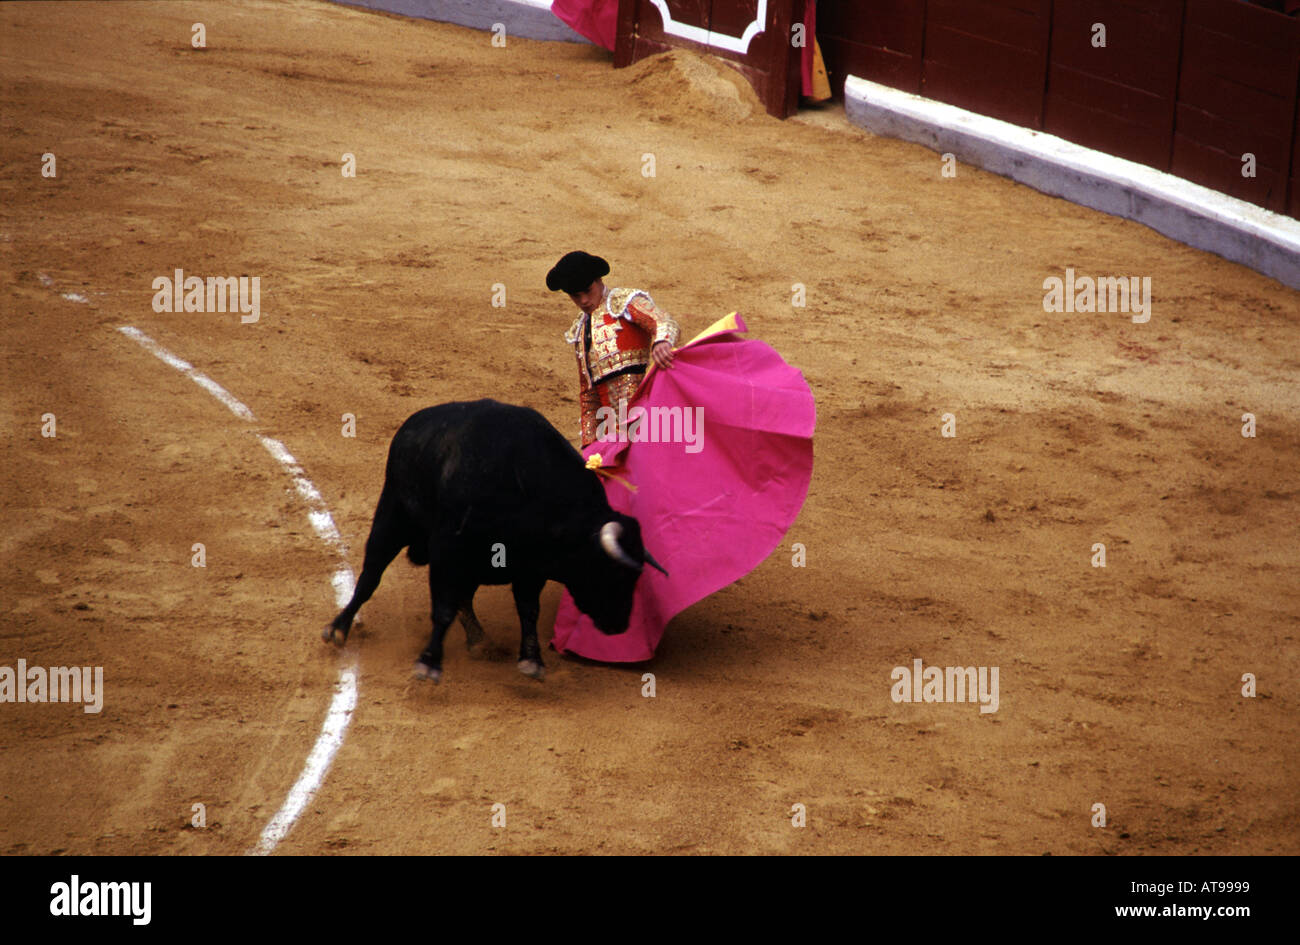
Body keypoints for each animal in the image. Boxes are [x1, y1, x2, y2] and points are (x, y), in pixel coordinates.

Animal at [322, 397, 670, 681]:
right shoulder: (448, 549)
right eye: (613, 572)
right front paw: (429, 663)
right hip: (393, 515)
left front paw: (531, 660)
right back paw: (338, 629)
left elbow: (528, 609)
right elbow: (443, 607)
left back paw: (479, 641)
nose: (620, 624)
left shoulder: (531, 567)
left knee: (464, 597)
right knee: (371, 575)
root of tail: (412, 425)